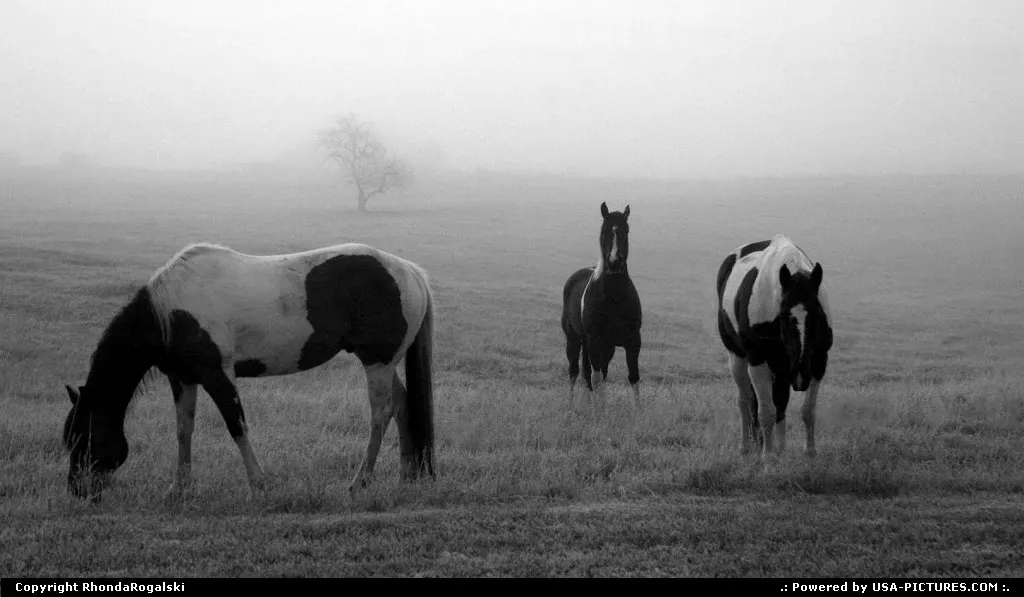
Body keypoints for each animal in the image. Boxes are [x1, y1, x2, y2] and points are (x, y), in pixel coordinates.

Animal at [62, 242, 436, 501]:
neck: (169, 311)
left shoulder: (217, 375)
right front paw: (178, 489)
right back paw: (406, 477)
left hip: (377, 363)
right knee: (402, 408)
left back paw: (361, 482)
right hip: (385, 364)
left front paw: (259, 484)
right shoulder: (183, 378)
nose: (78, 490)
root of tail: (410, 271)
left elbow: (236, 427)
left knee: (380, 415)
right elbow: (183, 430)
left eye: (84, 437)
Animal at [561, 202, 643, 406]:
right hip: (575, 339)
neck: (614, 298)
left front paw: (638, 410)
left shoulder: (633, 340)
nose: (614, 263)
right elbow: (595, 378)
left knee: (593, 373)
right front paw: (597, 410)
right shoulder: (595, 341)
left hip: (605, 347)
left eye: (626, 231)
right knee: (575, 372)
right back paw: (571, 404)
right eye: (604, 232)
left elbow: (633, 377)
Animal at [716, 234, 833, 460]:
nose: (801, 376)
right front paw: (768, 457)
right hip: (738, 357)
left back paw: (779, 447)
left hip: (782, 367)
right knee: (744, 401)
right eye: (784, 317)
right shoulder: (758, 360)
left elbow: (807, 410)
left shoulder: (818, 361)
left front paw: (810, 452)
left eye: (817, 315)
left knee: (779, 402)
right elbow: (766, 411)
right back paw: (746, 447)